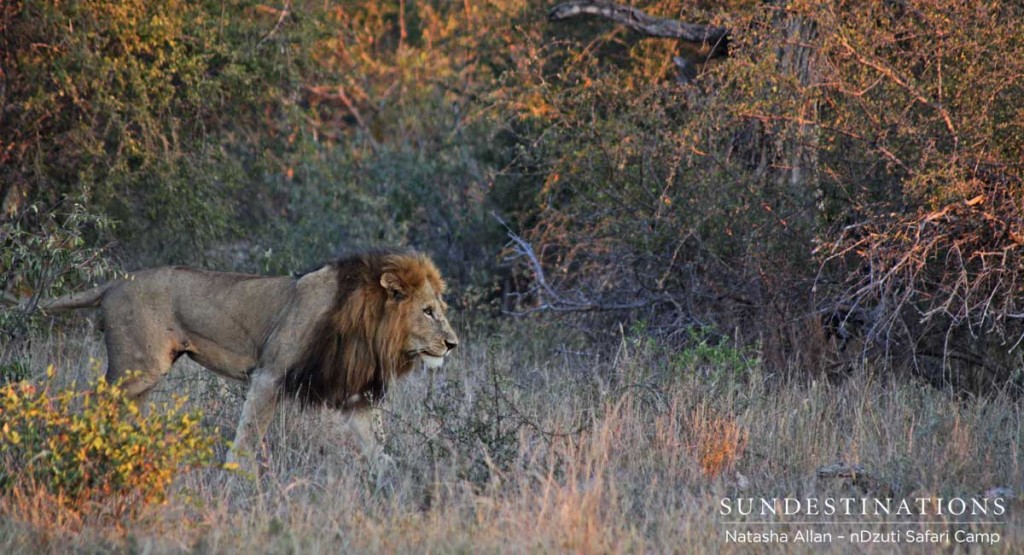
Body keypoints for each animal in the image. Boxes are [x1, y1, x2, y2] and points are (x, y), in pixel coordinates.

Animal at [39, 251, 456, 471]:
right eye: (428, 311)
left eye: (441, 310)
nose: (453, 344)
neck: (371, 329)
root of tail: (115, 282)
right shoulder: (269, 375)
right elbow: (249, 434)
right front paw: (233, 474)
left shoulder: (354, 396)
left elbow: (376, 445)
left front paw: (393, 476)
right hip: (138, 366)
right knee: (94, 402)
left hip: (143, 376)